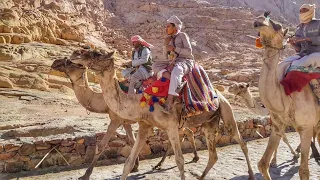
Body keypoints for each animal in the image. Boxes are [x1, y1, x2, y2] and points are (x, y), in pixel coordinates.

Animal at [51, 59, 199, 179]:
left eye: (70, 62)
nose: (55, 62)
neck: (103, 102)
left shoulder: (116, 120)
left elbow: (102, 145)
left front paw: (85, 175)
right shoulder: (126, 122)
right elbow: (132, 141)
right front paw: (135, 166)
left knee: (187, 132)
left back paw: (190, 158)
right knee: (187, 132)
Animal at [69, 48, 254, 180]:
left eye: (96, 53)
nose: (74, 54)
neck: (140, 100)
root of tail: (219, 94)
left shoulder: (171, 126)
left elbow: (180, 161)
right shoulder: (145, 125)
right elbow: (128, 163)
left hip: (226, 112)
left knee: (241, 143)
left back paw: (251, 175)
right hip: (209, 123)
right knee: (213, 155)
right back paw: (200, 176)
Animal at [254, 13, 320, 179]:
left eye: (277, 25)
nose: (258, 20)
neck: (285, 98)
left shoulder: (306, 128)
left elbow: (304, 171)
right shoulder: (277, 126)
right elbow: (262, 164)